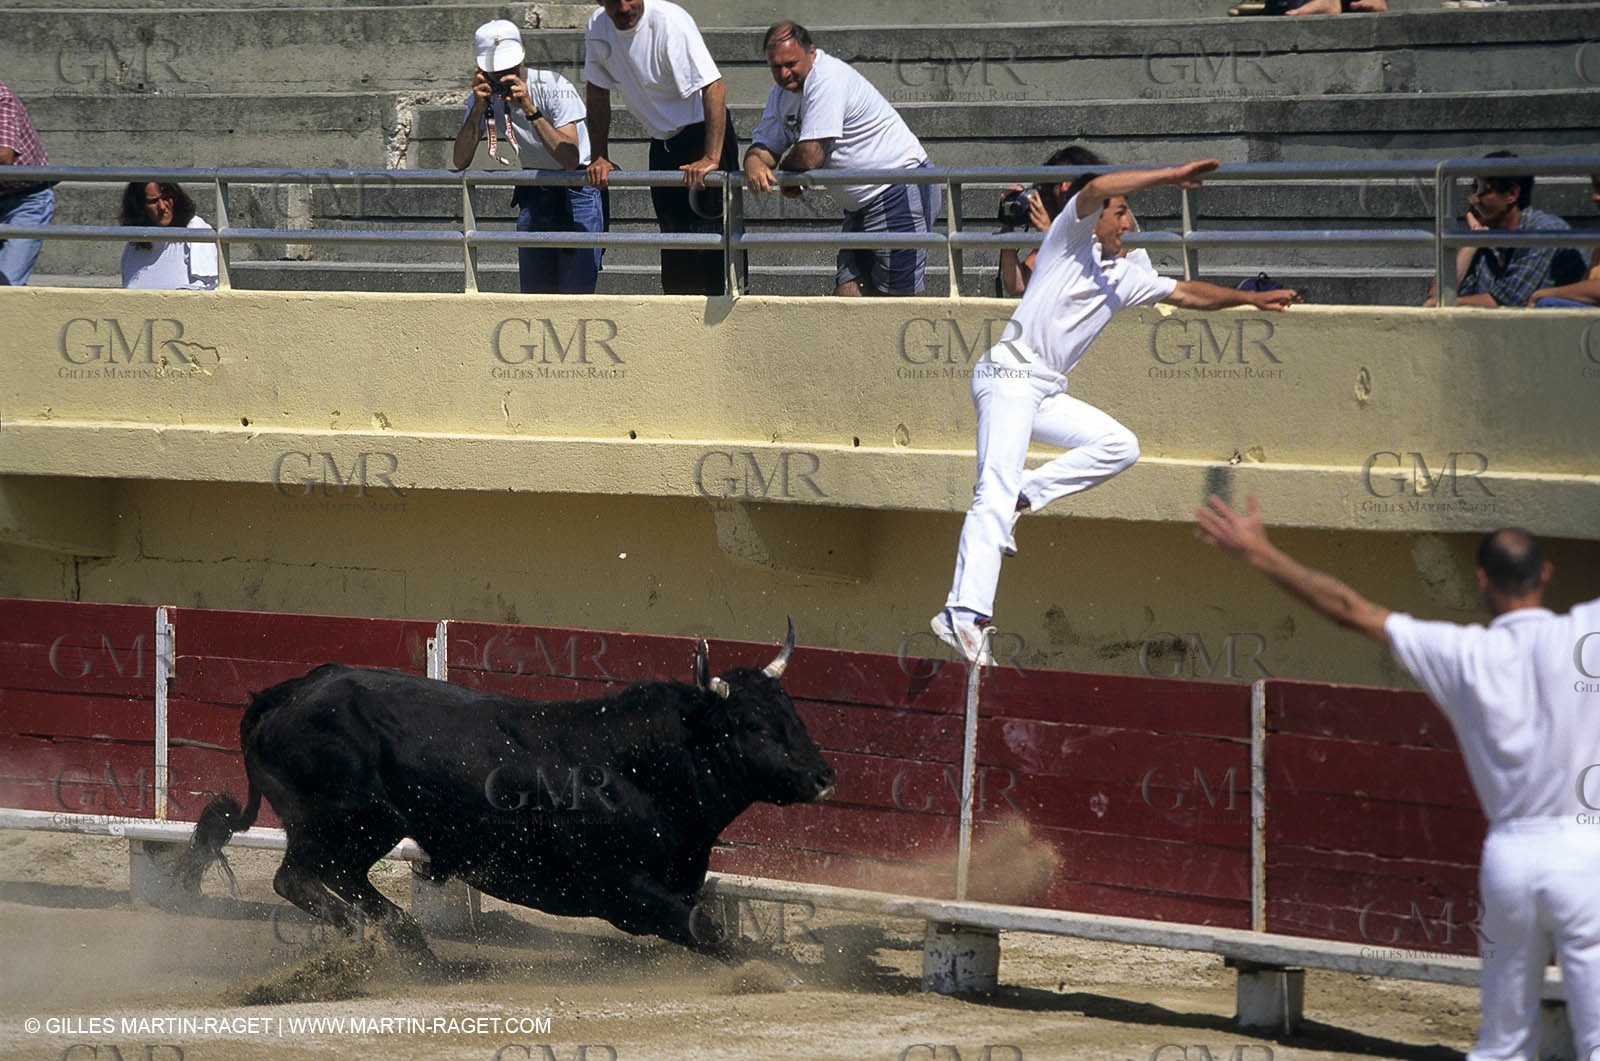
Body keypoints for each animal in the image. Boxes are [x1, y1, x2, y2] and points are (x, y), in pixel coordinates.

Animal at [174, 622, 834, 962]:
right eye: (751, 725)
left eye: (792, 712)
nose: (824, 777)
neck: (640, 765)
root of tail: (288, 691)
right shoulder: (619, 888)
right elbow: (707, 929)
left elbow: (707, 927)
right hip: (346, 819)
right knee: (299, 878)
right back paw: (378, 939)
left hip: (362, 827)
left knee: (339, 879)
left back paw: (410, 945)